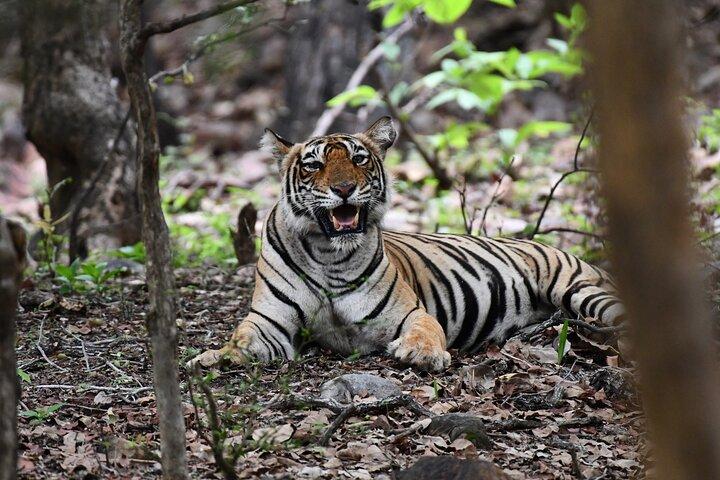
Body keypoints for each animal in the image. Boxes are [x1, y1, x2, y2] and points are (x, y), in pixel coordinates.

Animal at [189, 117, 624, 371]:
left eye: (359, 159)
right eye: (314, 165)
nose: (343, 188)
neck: (329, 254)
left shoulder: (409, 312)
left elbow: (426, 331)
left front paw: (422, 354)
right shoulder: (269, 322)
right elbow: (241, 338)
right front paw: (214, 357)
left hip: (580, 289)